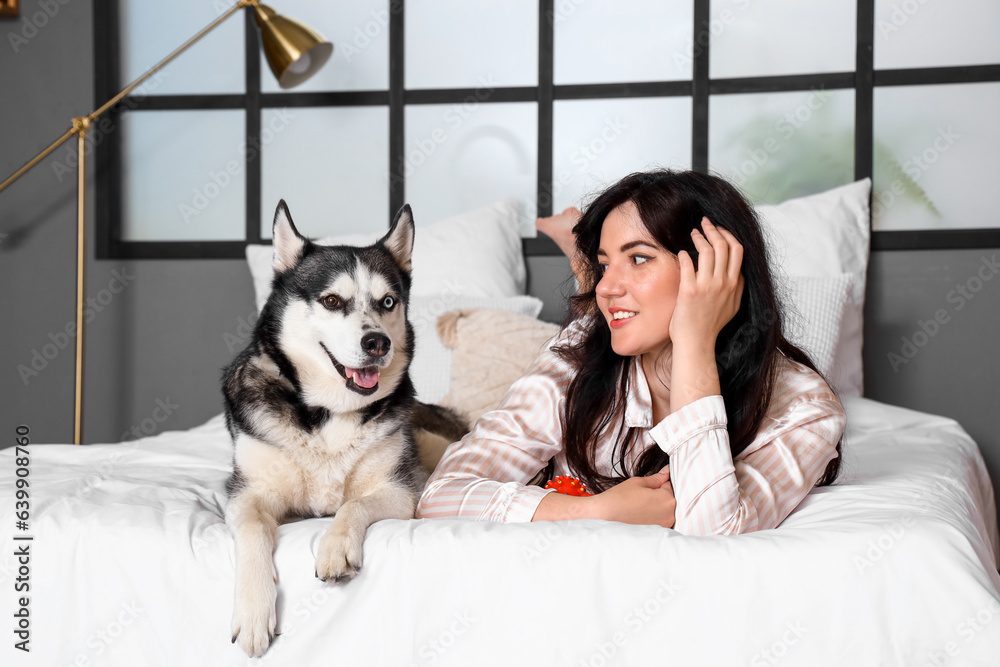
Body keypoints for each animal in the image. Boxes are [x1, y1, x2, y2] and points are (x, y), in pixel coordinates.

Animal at [223, 200, 464, 656]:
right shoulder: (246, 493)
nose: (378, 343)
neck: (329, 412)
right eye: (332, 300)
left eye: (387, 301)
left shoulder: (403, 489)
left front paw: (335, 547)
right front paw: (253, 611)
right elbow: (251, 530)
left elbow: (354, 505)